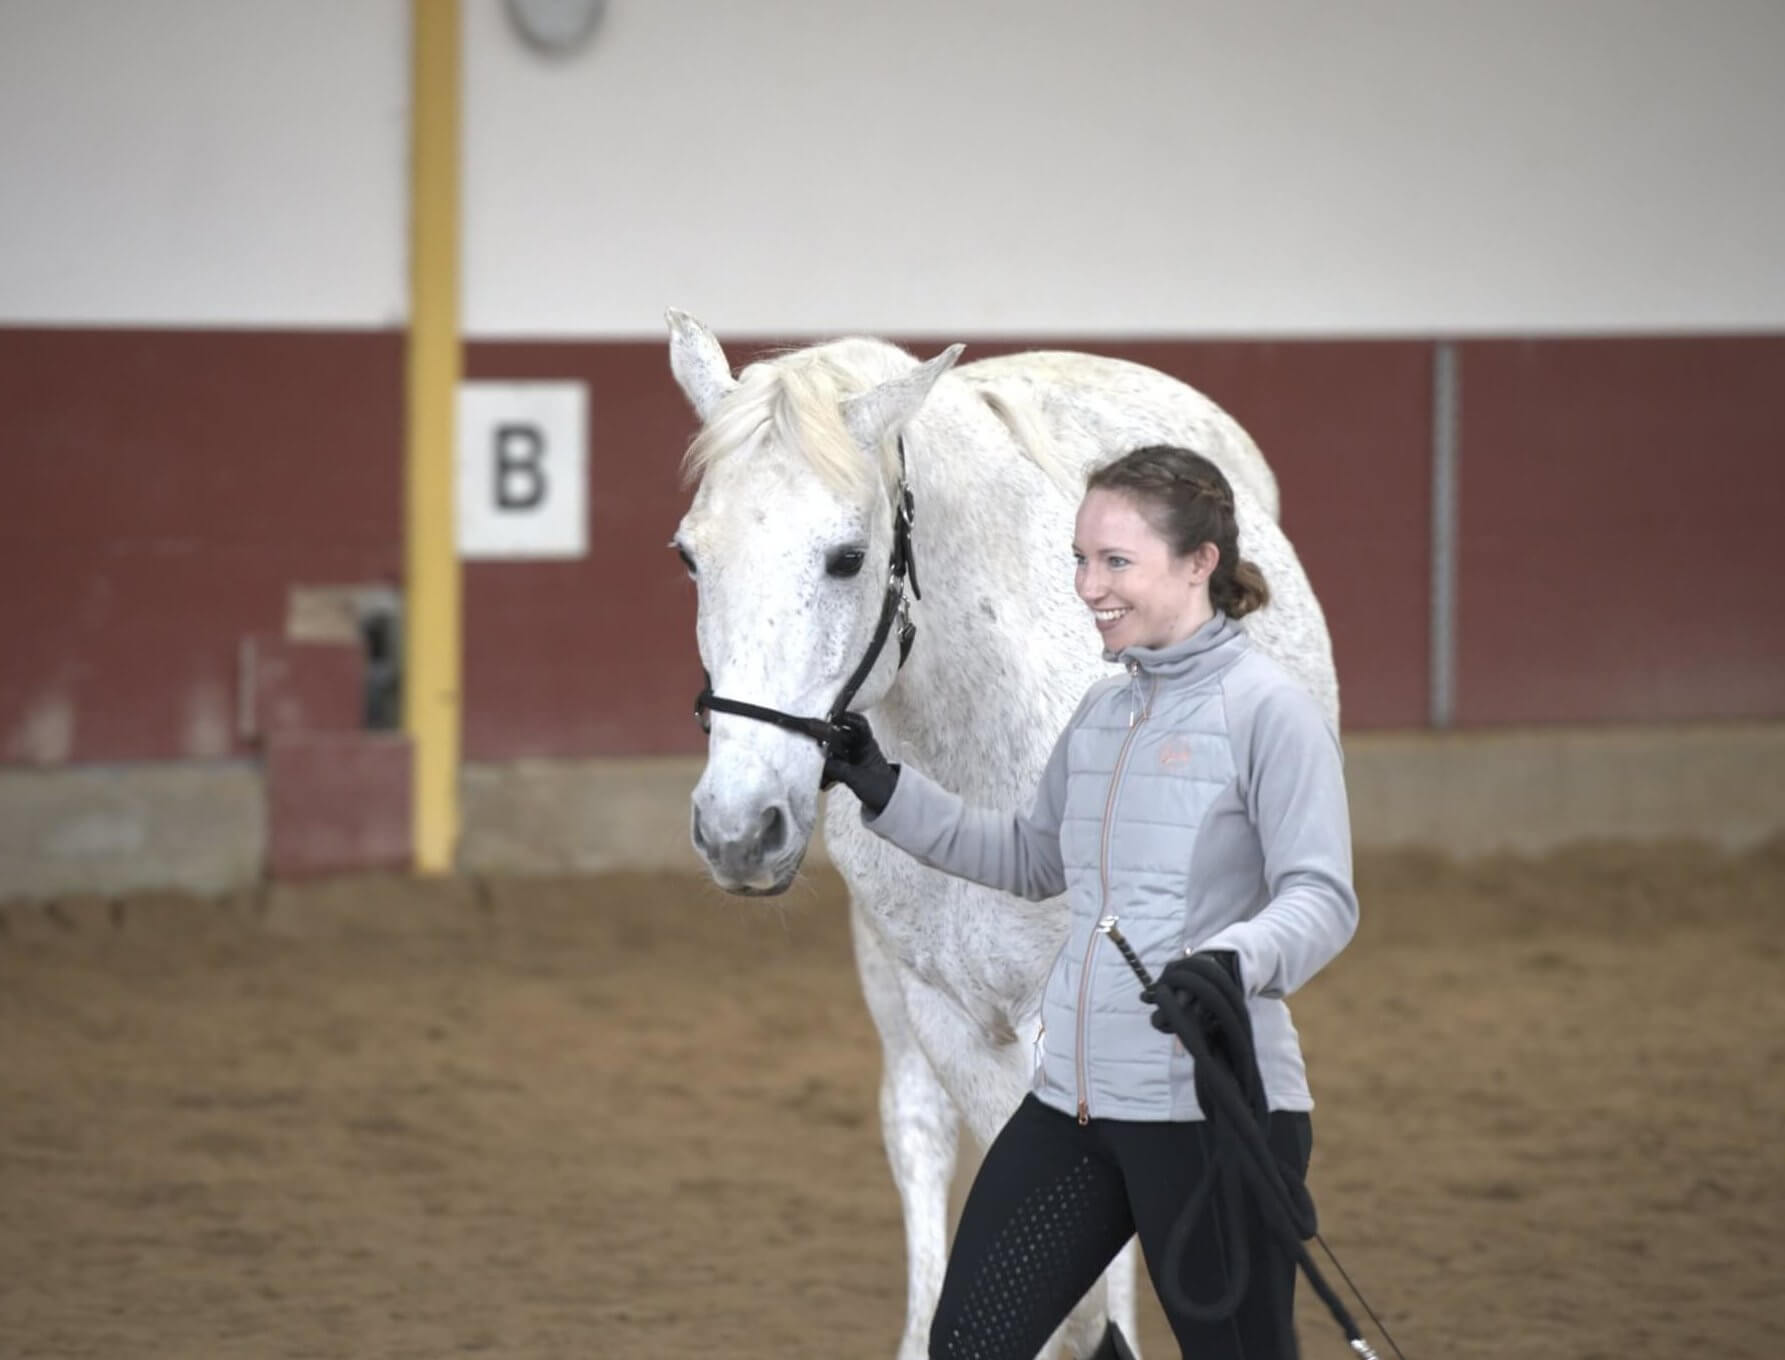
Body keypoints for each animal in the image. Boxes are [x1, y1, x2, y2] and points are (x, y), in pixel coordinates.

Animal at [671, 310, 1342, 1356]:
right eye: (690, 557)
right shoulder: (946, 1014)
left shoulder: (1061, 1029)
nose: (739, 830)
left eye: (846, 557)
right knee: (913, 1128)